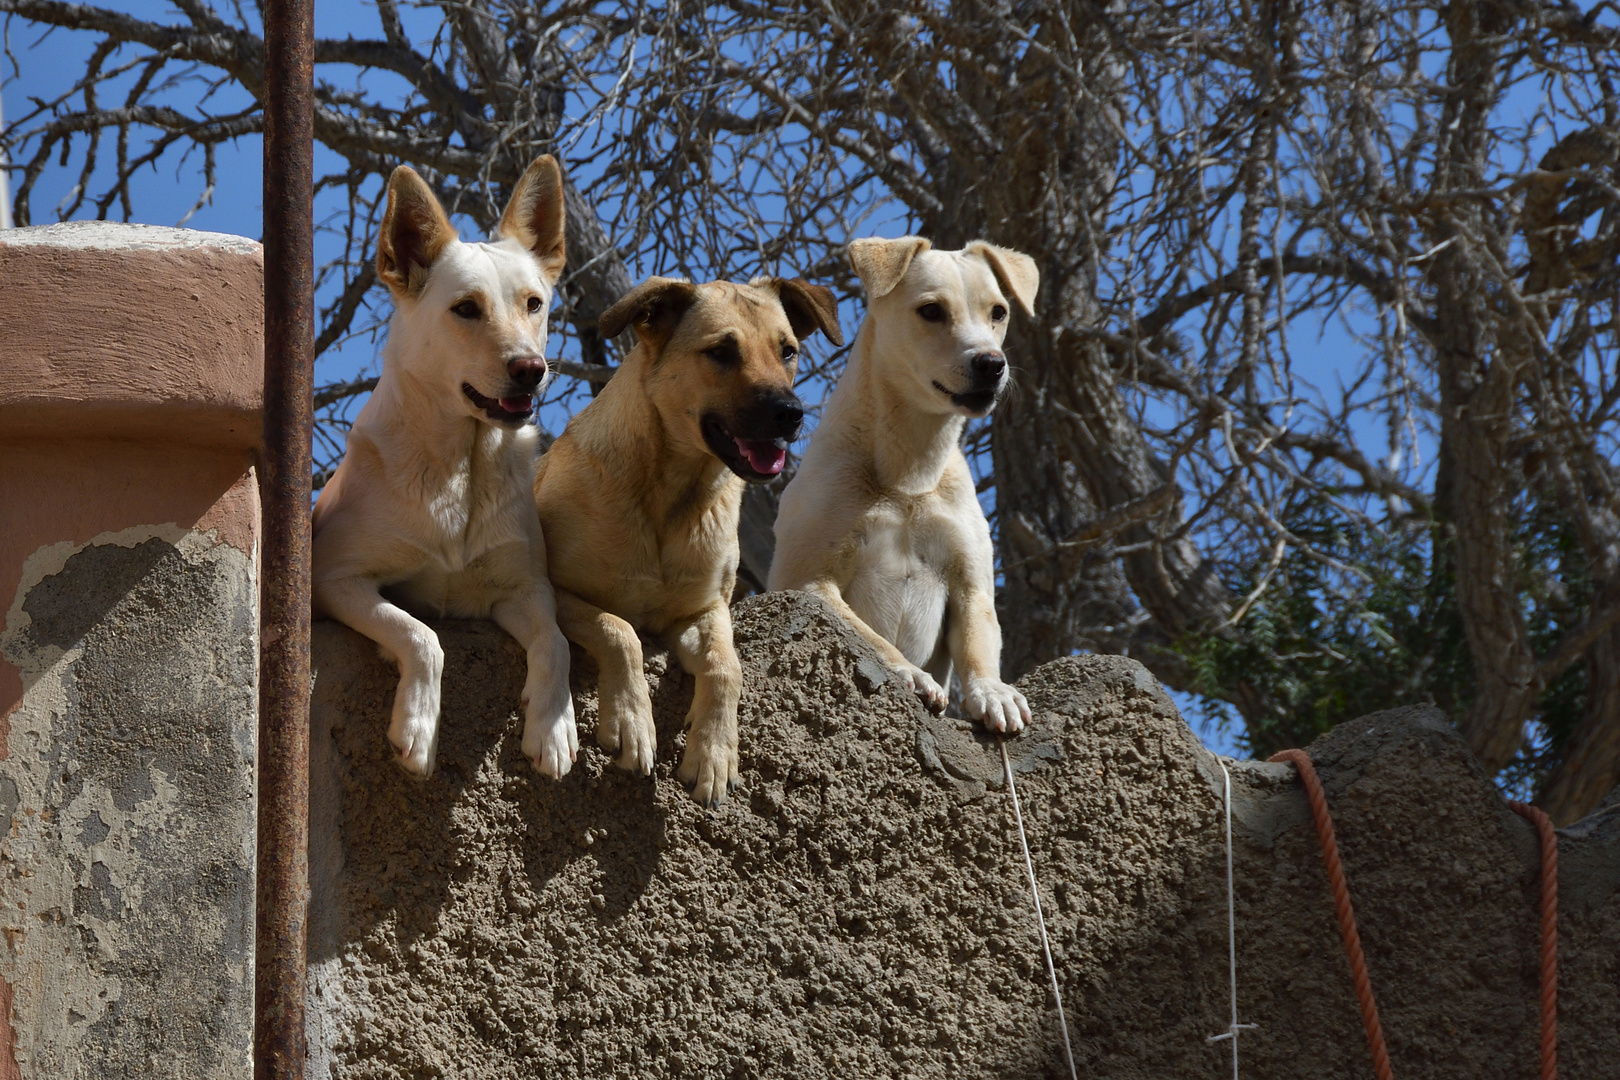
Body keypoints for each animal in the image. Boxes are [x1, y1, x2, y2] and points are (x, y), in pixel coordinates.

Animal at [309, 156, 576, 777]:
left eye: (534, 303)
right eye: (466, 309)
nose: (532, 369)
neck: (462, 466)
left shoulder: (526, 586)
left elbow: (556, 642)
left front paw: (552, 728)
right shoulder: (333, 578)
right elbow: (421, 634)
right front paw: (419, 725)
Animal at [534, 275, 842, 806]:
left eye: (788, 351)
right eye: (721, 352)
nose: (791, 413)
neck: (671, 491)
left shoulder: (704, 610)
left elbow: (726, 667)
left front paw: (715, 753)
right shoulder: (556, 588)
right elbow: (619, 629)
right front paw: (632, 722)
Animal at [767, 238, 1036, 735]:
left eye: (999, 311)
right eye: (931, 311)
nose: (992, 364)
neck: (910, 469)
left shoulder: (970, 583)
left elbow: (978, 642)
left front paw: (993, 692)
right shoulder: (807, 580)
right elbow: (868, 635)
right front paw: (911, 674)